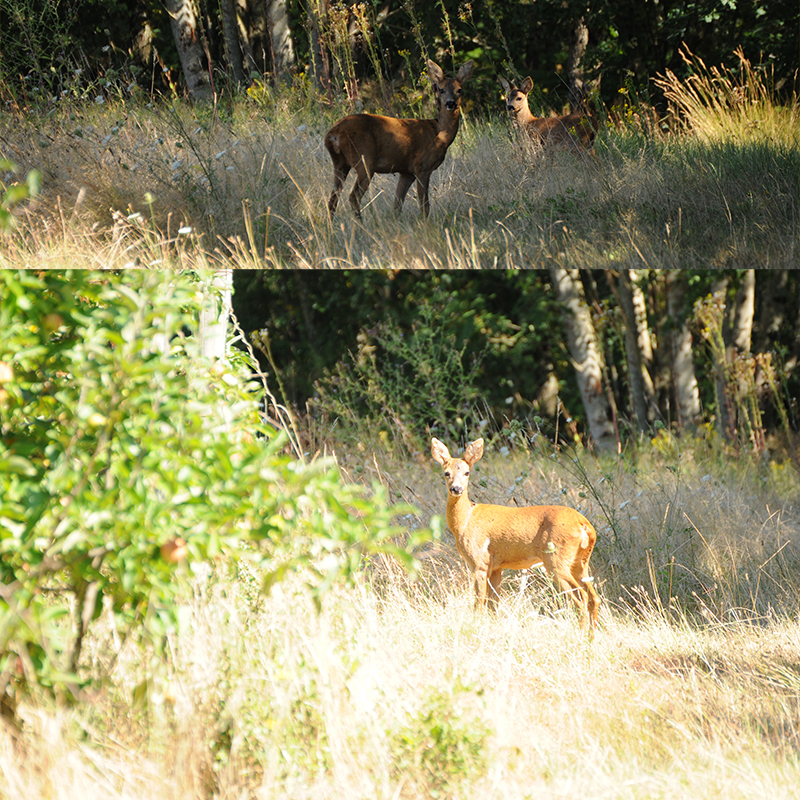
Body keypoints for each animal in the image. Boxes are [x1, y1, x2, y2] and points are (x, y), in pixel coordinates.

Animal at [324, 59, 476, 217]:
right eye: (441, 90)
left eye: (459, 90)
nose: (450, 103)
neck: (439, 134)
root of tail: (333, 134)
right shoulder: (422, 166)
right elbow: (424, 206)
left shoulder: (406, 172)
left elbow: (397, 205)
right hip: (364, 160)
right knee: (353, 196)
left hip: (340, 163)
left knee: (333, 199)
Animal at [434, 438, 596, 632]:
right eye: (446, 473)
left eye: (467, 472)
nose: (456, 488)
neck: (465, 520)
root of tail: (585, 525)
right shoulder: (496, 567)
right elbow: (493, 606)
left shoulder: (480, 562)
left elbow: (479, 604)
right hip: (580, 562)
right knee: (594, 597)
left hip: (556, 558)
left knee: (581, 597)